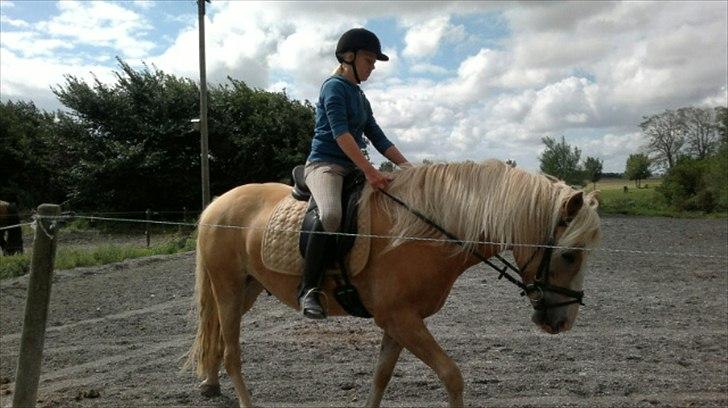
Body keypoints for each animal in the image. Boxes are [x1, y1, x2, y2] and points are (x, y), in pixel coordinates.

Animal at [185, 159, 600, 408]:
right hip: (228, 287)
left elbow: (381, 377)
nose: (564, 321)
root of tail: (217, 203)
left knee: (217, 335)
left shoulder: (398, 322)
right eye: (569, 255)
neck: (421, 232)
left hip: (247, 289)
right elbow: (452, 375)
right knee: (232, 353)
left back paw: (209, 384)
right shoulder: (401, 320)